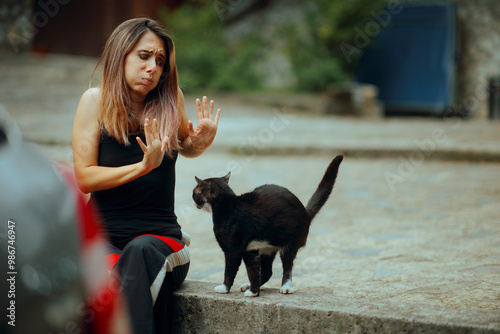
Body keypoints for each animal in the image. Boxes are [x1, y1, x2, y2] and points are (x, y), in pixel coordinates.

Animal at [192, 155, 344, 296]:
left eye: (194, 193)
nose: (193, 200)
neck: (227, 205)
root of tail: (306, 213)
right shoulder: (250, 250)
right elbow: (253, 270)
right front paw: (254, 292)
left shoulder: (233, 249)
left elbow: (230, 270)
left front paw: (224, 288)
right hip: (267, 248)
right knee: (268, 271)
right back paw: (248, 285)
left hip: (290, 243)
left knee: (287, 266)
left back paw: (286, 287)